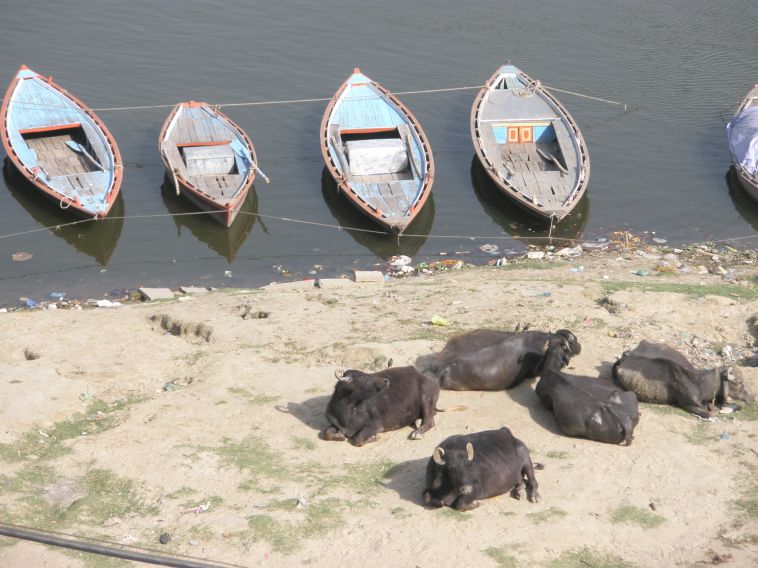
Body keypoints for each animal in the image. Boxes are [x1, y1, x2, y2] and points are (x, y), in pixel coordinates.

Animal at [616, 340, 756, 420]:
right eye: (739, 382)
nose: (753, 397)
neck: (700, 384)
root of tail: (627, 354)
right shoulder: (686, 404)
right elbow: (711, 413)